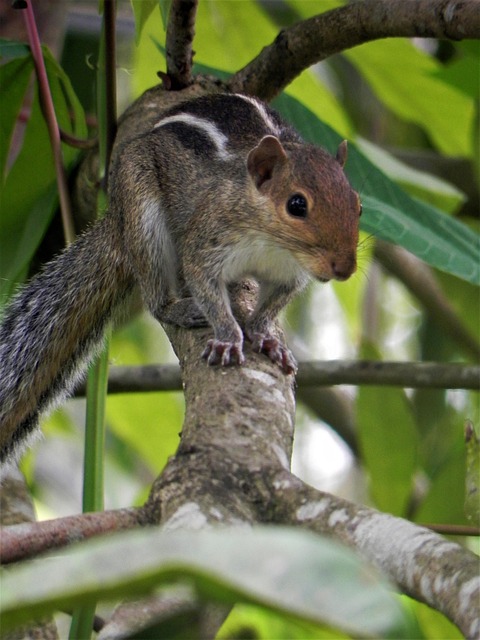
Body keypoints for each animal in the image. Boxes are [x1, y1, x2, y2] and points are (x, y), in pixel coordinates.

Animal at [0, 92, 361, 465]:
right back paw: (179, 309)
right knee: (156, 298)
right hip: (143, 215)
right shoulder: (207, 243)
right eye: (296, 205)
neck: (272, 245)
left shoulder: (290, 276)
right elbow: (205, 286)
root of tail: (117, 219)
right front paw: (228, 337)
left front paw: (266, 337)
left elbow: (272, 306)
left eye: (358, 205)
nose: (344, 268)